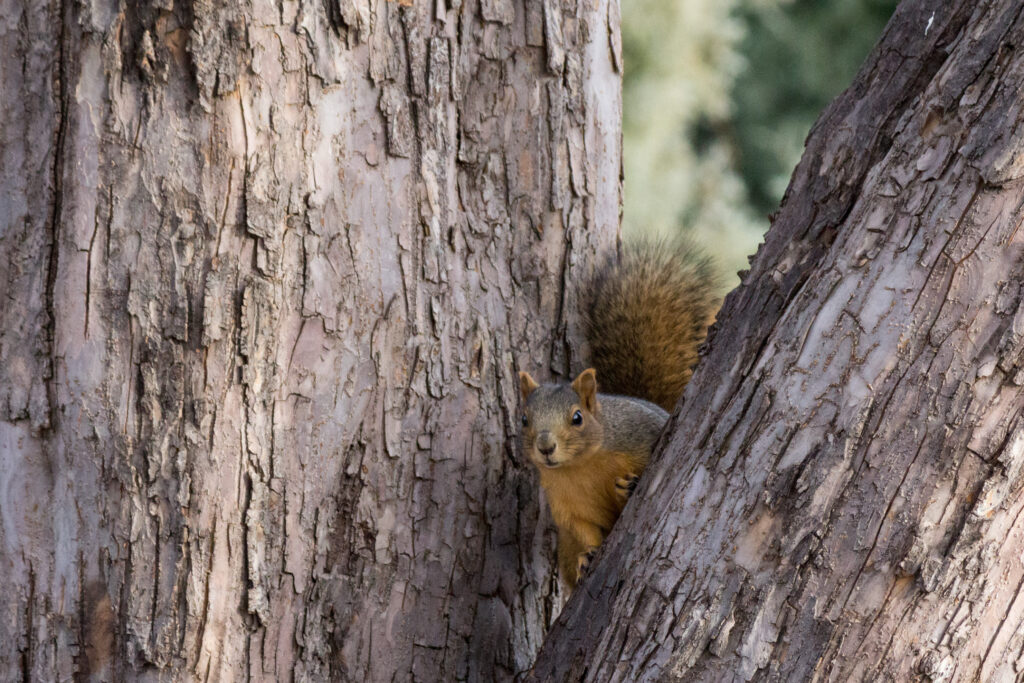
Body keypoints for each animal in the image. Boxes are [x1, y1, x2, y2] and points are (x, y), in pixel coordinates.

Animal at [519, 239, 720, 589]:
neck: (581, 466)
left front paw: (630, 487)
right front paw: (588, 557)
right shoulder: (564, 503)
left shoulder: (640, 434)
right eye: (525, 420)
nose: (545, 447)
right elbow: (583, 529)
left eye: (577, 418)